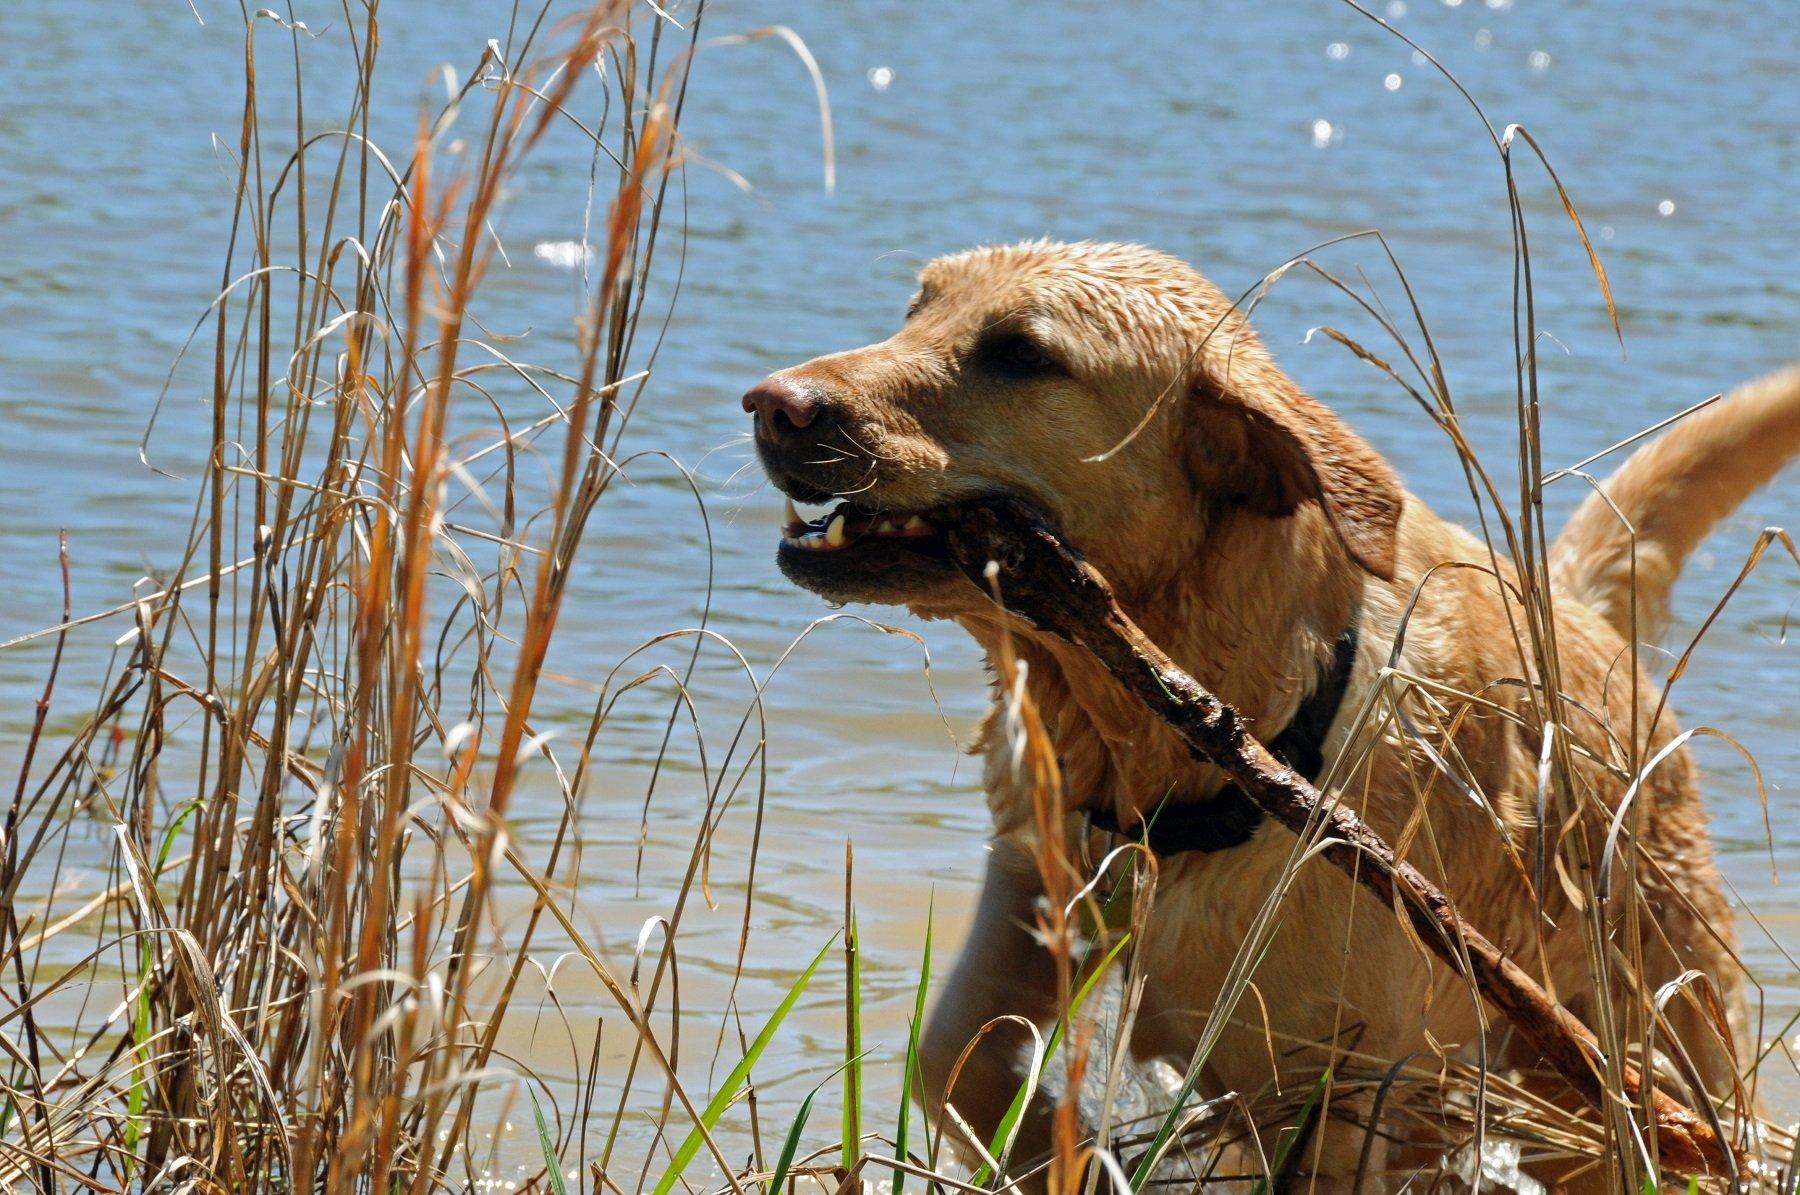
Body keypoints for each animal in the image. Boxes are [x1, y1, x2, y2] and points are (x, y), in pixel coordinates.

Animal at [738, 242, 1792, 1187]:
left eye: (1021, 353)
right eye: (917, 308)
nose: (772, 403)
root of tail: (1574, 606)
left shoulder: (1332, 1087)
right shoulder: (1034, 889)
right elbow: (959, 1062)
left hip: (1646, 1039)